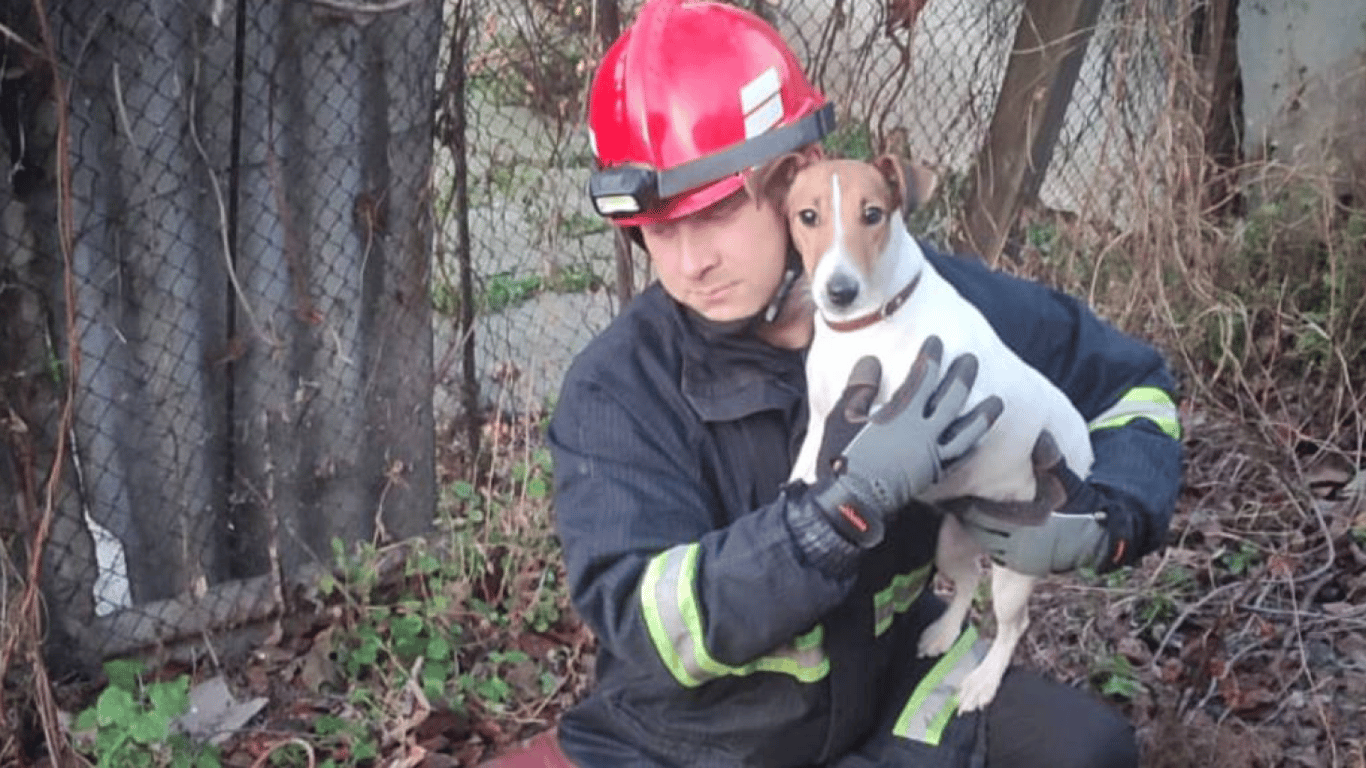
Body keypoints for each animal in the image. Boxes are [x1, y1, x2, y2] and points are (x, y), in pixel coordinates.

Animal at [754, 152, 1092, 710]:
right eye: (807, 216)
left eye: (872, 214)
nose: (839, 291)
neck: (870, 325)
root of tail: (1083, 443)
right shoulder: (825, 417)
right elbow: (809, 463)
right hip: (953, 541)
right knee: (965, 582)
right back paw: (942, 635)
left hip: (1017, 563)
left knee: (1012, 625)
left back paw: (983, 681)